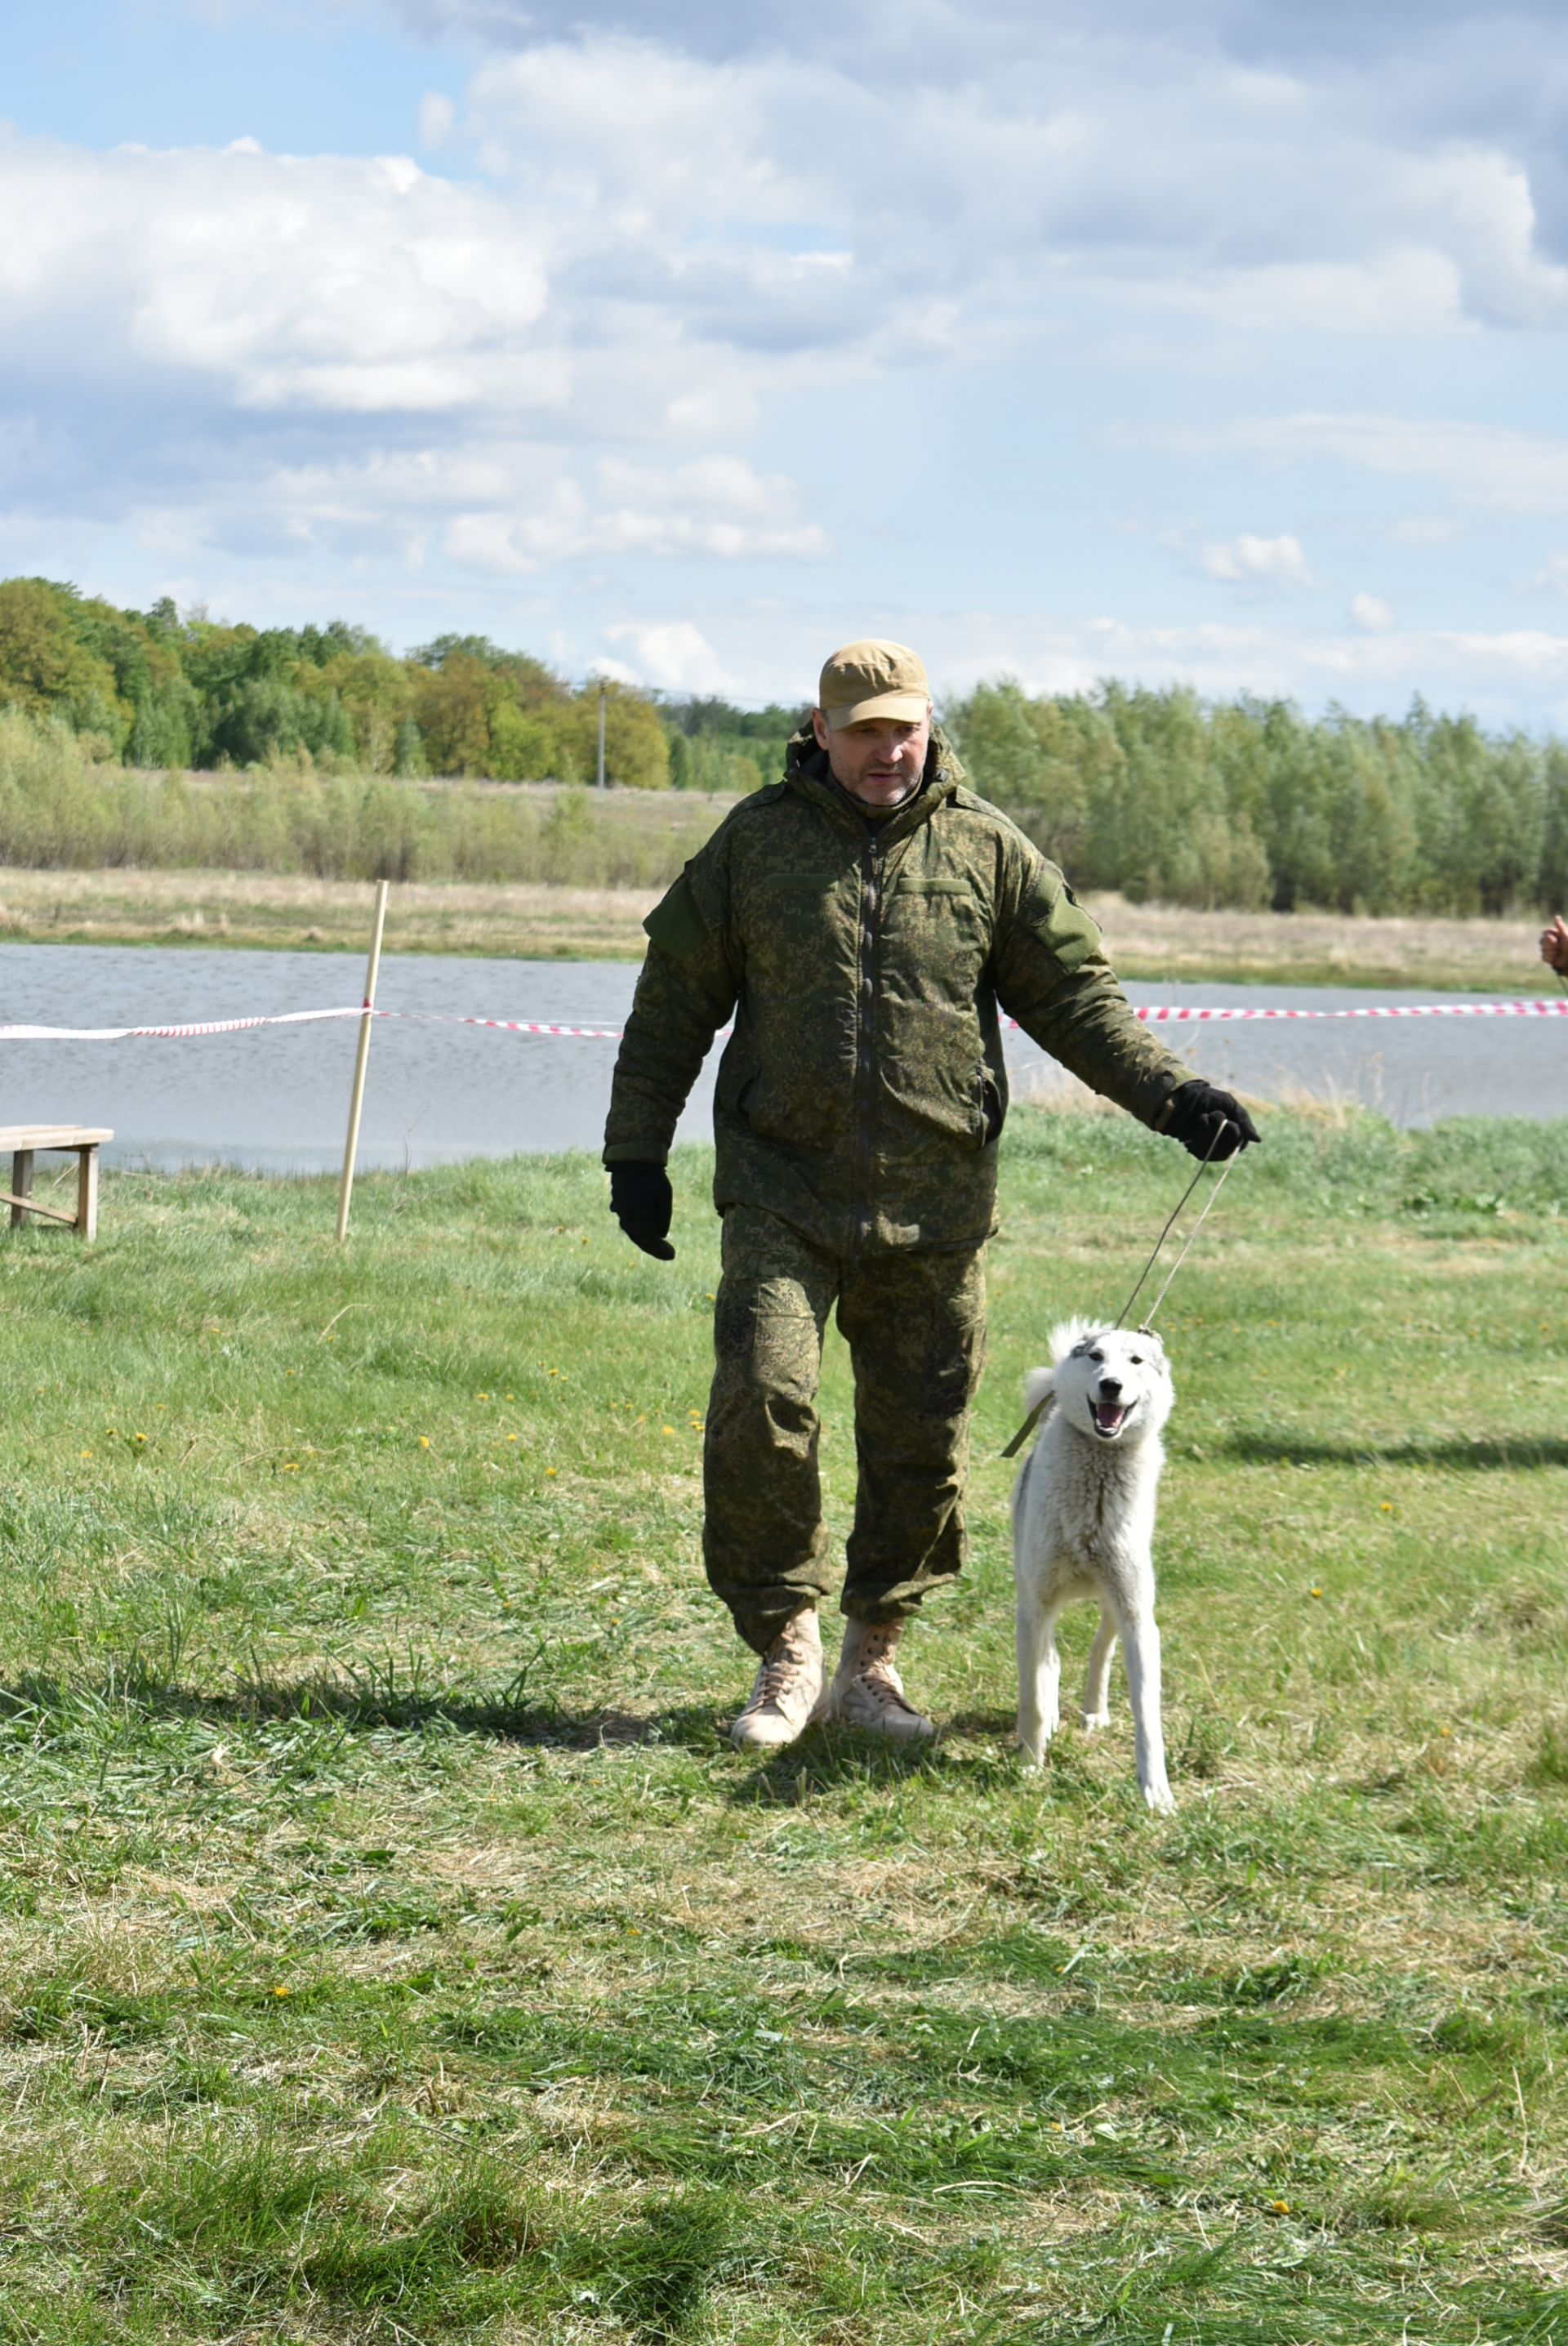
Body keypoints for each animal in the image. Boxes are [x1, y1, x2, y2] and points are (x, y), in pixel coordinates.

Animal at [1017, 1322, 1171, 1811]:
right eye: (1096, 1357)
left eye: (1136, 1361)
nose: (1111, 1386)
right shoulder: (1036, 1604)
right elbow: (1033, 1696)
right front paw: (1030, 1765)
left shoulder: (1138, 1617)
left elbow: (1147, 1712)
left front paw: (1156, 1793)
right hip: (1030, 1595)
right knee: (1047, 1661)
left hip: (1114, 1603)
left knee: (1100, 1650)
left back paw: (1094, 1711)